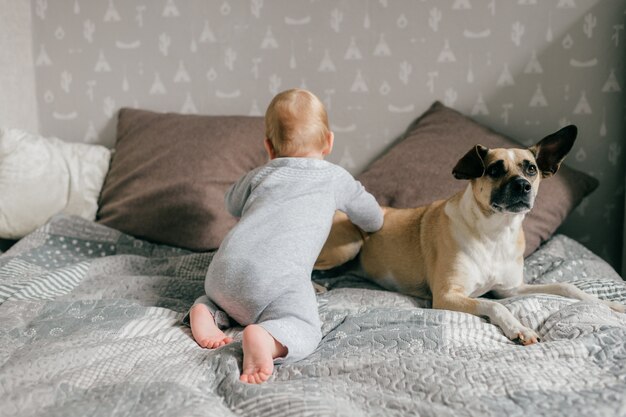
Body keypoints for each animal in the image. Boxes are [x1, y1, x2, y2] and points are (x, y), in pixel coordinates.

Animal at [316, 124, 624, 344]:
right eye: (494, 170)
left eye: (531, 169)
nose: (523, 186)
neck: (495, 233)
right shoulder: (447, 296)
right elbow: (494, 306)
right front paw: (519, 328)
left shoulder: (510, 289)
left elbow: (566, 287)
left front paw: (611, 305)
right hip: (350, 243)